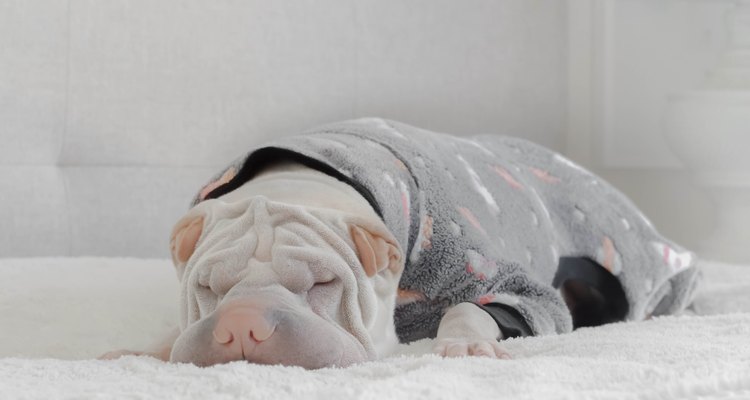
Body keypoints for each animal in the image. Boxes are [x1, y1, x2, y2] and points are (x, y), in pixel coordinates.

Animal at [98, 118, 700, 368]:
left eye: (323, 284)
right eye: (206, 288)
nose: (240, 324)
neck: (298, 182)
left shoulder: (501, 280)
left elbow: (477, 305)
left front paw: (464, 343)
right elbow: (176, 331)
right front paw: (147, 346)